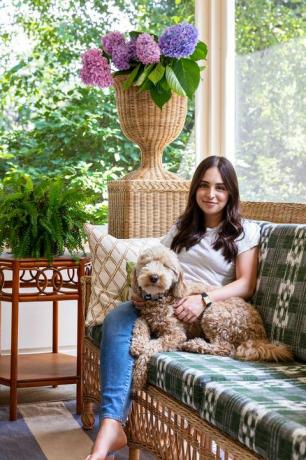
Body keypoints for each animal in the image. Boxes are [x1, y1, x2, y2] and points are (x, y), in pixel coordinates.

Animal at [130, 246, 292, 390]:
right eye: (146, 263)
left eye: (166, 266)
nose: (154, 277)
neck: (159, 299)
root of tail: (259, 337)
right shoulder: (144, 316)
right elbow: (139, 324)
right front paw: (137, 344)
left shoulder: (176, 333)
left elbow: (151, 347)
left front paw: (138, 377)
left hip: (213, 313)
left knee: (225, 348)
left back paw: (194, 345)